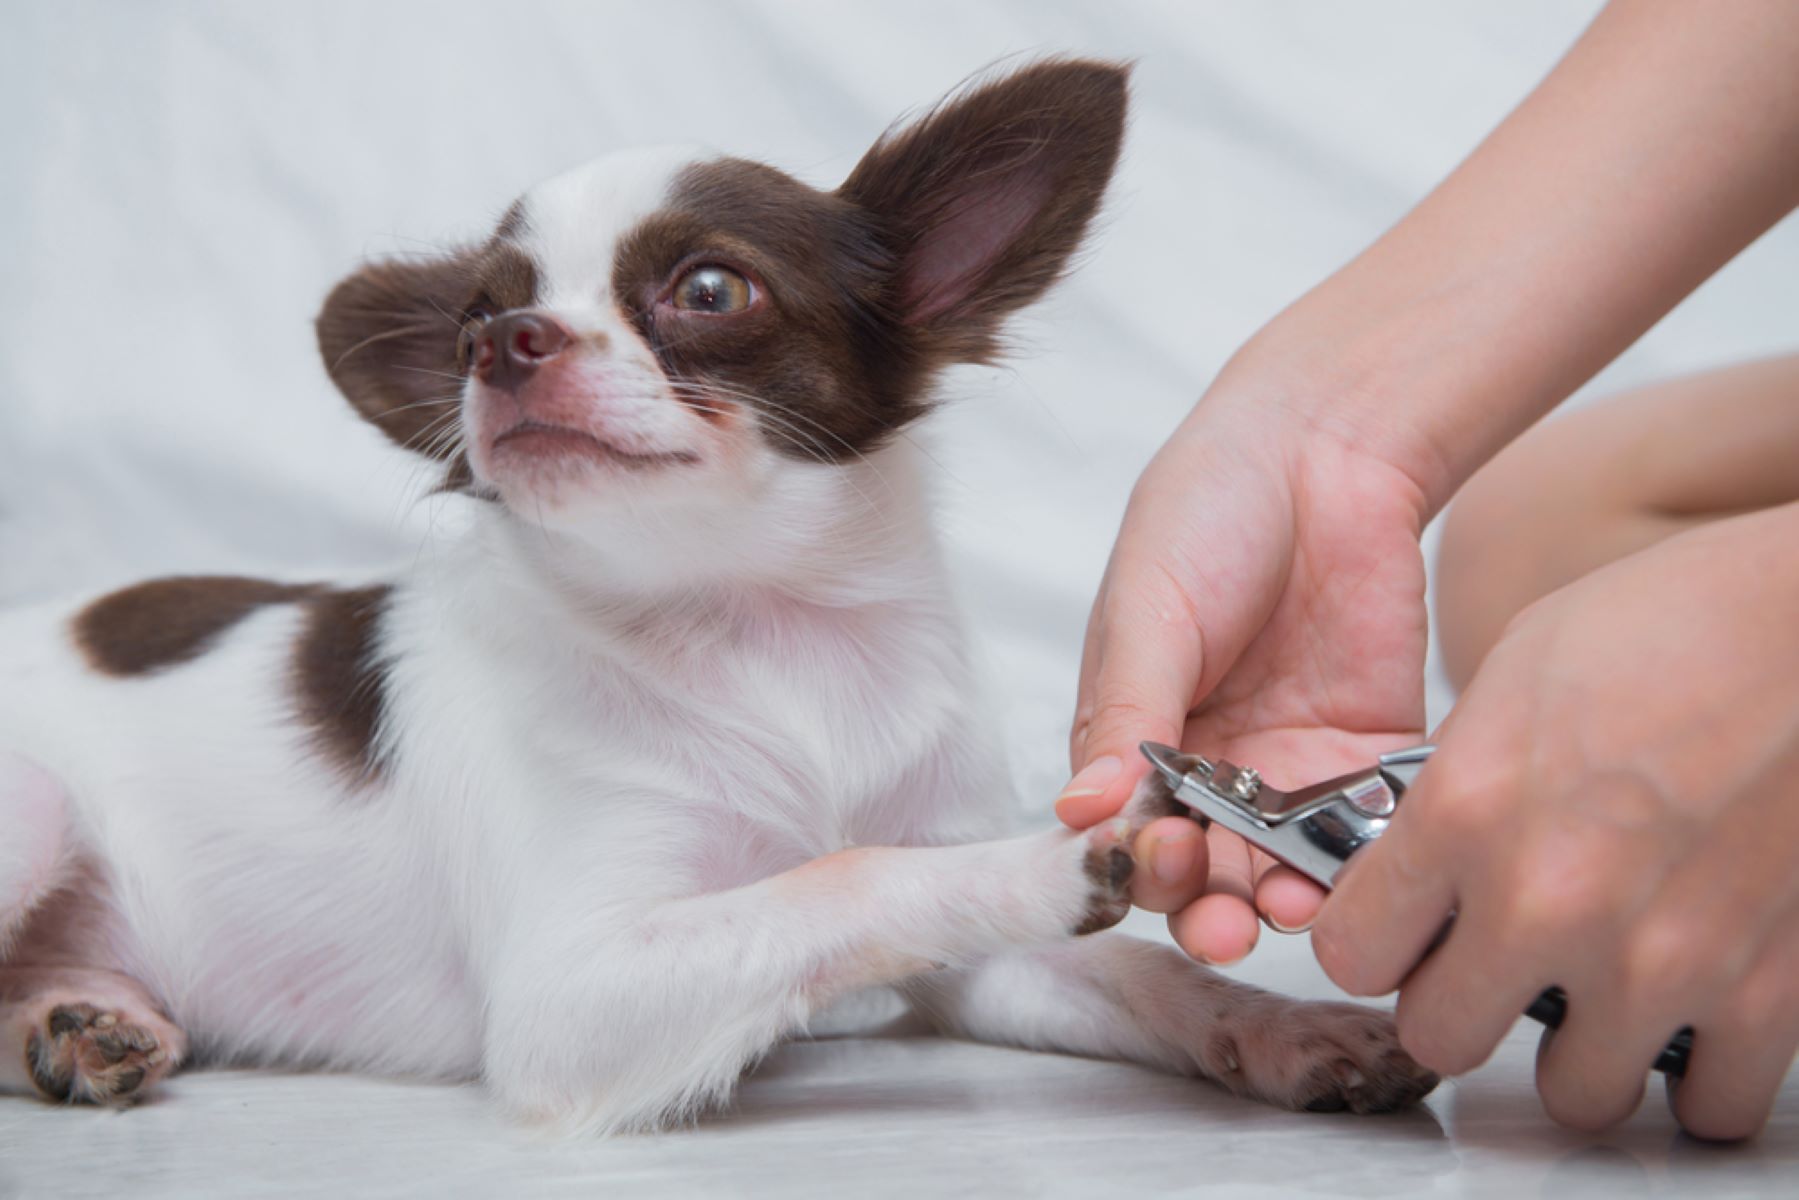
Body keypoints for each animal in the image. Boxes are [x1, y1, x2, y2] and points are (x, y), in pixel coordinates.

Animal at [0, 58, 1432, 1137]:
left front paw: (1282, 1026)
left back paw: (81, 1021)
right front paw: (1045, 855)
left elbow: (1139, 969)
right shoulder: (567, 998)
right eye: (473, 319)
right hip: (35, 805)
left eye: (706, 290)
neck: (760, 626)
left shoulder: (973, 974)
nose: (495, 347)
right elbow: (837, 880)